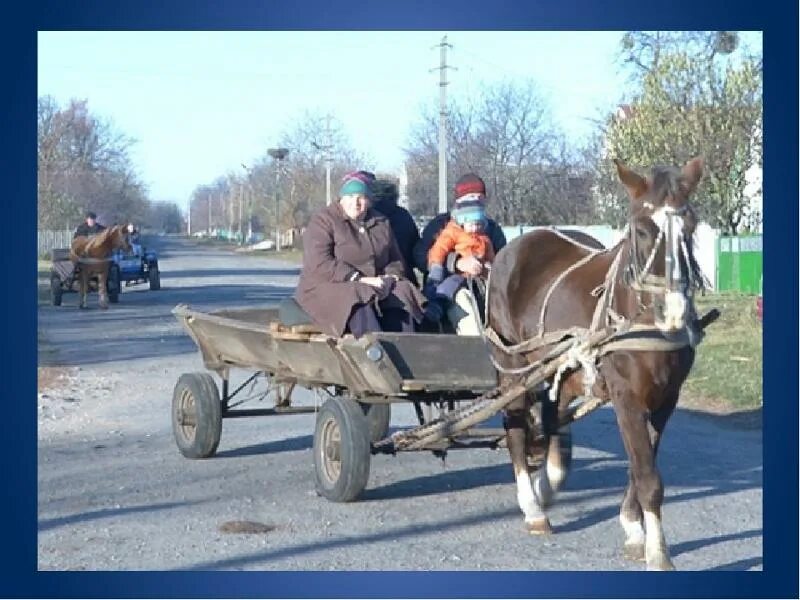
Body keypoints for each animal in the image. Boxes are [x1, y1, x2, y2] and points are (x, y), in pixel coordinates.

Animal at [488, 157, 708, 568]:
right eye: (642, 229)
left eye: (690, 225)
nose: (673, 311)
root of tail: (518, 244)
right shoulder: (627, 399)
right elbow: (647, 476)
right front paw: (658, 551)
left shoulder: (665, 400)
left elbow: (641, 467)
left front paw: (633, 527)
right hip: (512, 366)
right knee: (516, 427)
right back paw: (532, 504)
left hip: (561, 368)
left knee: (552, 416)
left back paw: (548, 483)